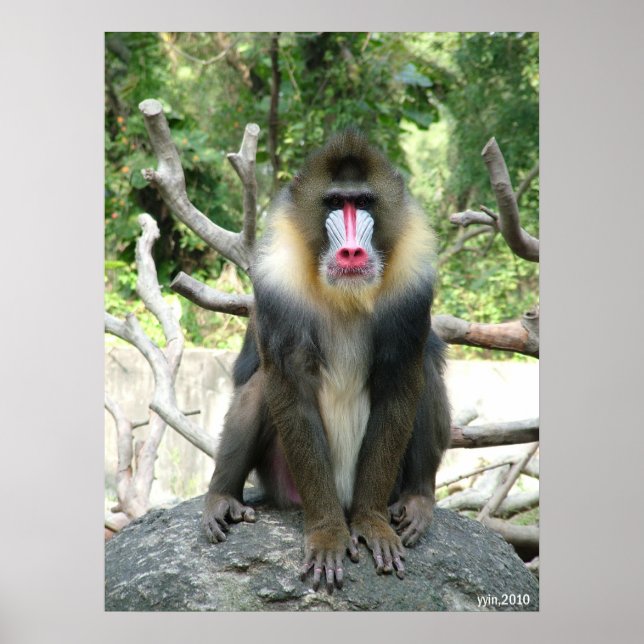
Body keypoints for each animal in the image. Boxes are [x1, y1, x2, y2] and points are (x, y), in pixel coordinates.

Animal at [202, 130, 451, 593]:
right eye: (335, 202)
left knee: (424, 370)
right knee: (260, 384)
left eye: (364, 202)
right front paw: (327, 534)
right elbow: (290, 389)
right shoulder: (277, 288)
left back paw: (417, 500)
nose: (352, 251)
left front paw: (371, 525)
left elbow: (400, 385)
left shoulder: (412, 288)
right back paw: (222, 496)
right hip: (282, 477)